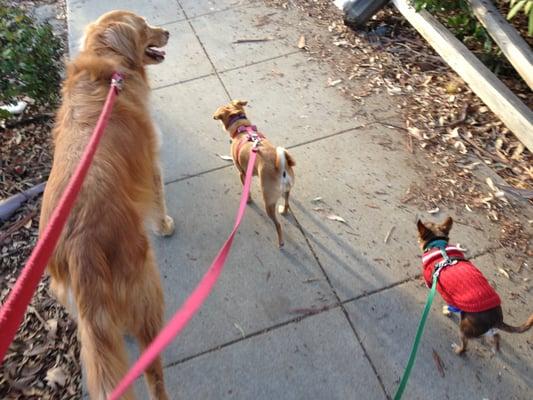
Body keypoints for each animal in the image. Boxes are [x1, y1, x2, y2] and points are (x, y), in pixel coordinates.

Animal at [41, 10, 175, 400]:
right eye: (145, 28)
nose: (167, 32)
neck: (110, 65)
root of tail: (79, 249)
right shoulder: (151, 157)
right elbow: (158, 196)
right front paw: (165, 225)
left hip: (71, 297)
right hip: (146, 286)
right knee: (152, 370)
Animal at [213, 100, 296, 247]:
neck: (242, 128)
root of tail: (281, 169)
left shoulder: (242, 174)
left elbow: (247, 190)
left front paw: (248, 200)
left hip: (269, 203)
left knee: (278, 225)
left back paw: (280, 242)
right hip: (287, 191)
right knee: (287, 203)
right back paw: (284, 210)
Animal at [416, 217, 532, 354]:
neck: (438, 245)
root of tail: (497, 319)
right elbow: (451, 306)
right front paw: (448, 310)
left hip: (464, 328)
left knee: (465, 346)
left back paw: (458, 350)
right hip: (485, 330)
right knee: (496, 335)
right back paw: (495, 348)